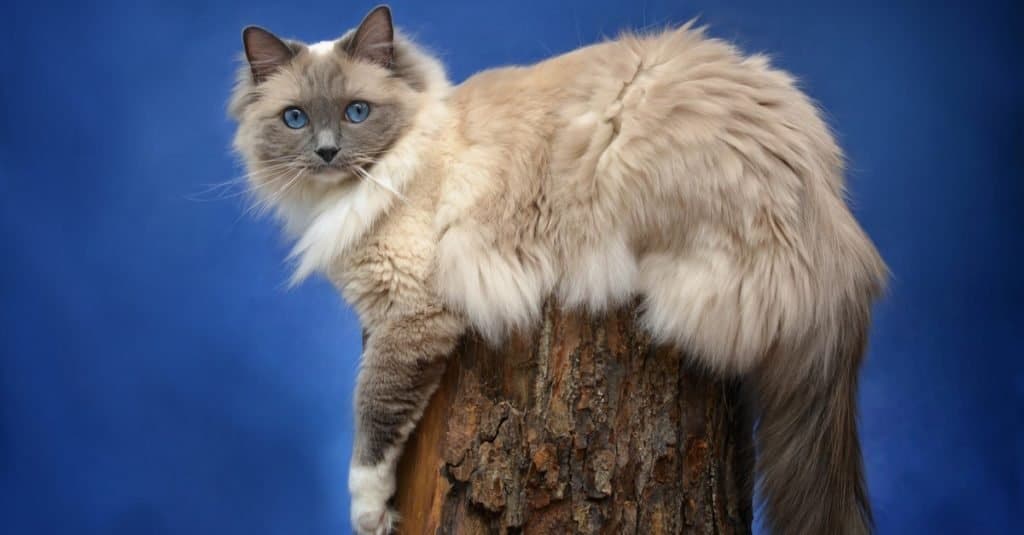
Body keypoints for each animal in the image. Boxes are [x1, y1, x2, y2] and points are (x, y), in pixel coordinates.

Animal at [228, 5, 884, 532]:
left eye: (357, 112)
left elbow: (372, 424)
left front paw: (370, 515)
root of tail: (841, 236)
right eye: (295, 119)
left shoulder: (410, 317)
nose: (327, 152)